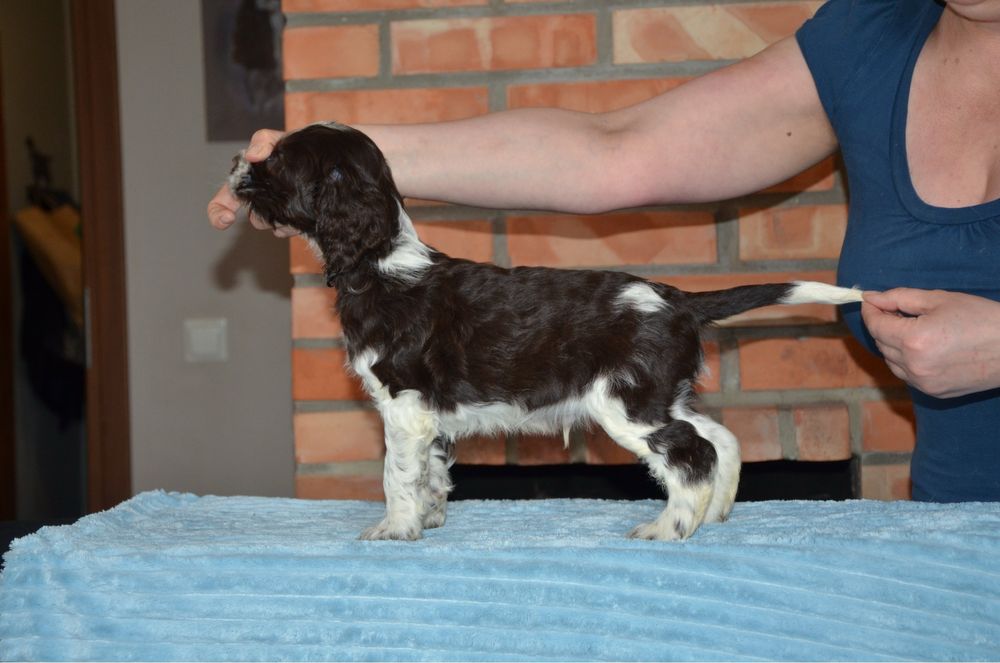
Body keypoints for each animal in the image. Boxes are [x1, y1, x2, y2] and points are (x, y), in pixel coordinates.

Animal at [230, 122, 864, 544]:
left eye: (278, 160)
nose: (239, 159)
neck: (382, 263)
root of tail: (675, 299)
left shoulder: (402, 403)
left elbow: (396, 474)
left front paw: (394, 529)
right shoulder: (428, 415)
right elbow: (431, 470)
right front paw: (429, 518)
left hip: (625, 404)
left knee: (692, 454)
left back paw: (669, 527)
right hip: (661, 395)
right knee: (722, 439)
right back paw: (716, 513)